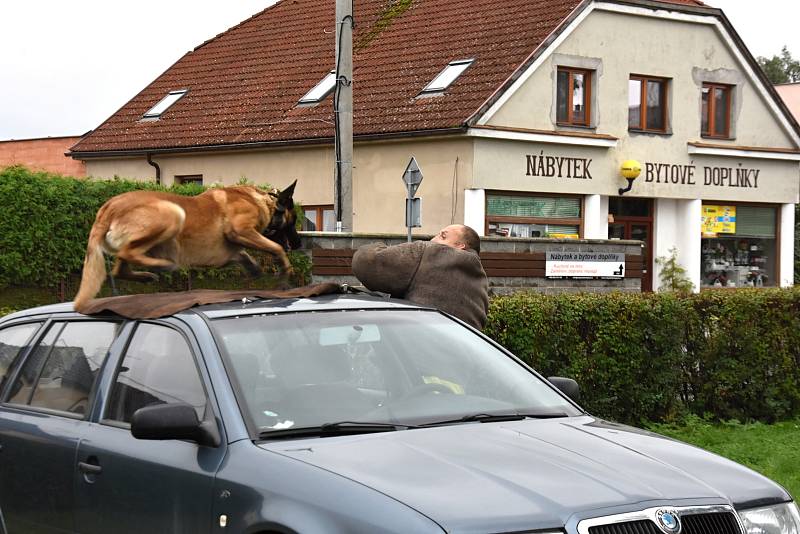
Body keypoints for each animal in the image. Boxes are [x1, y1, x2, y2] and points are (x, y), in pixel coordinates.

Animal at [74, 182, 300, 312]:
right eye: (295, 219)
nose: (298, 243)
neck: (264, 200)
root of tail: (108, 207)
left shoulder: (229, 249)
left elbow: (242, 255)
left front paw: (254, 268)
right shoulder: (239, 231)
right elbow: (276, 248)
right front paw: (284, 275)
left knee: (120, 267)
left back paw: (146, 275)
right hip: (173, 214)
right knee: (127, 253)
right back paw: (162, 266)